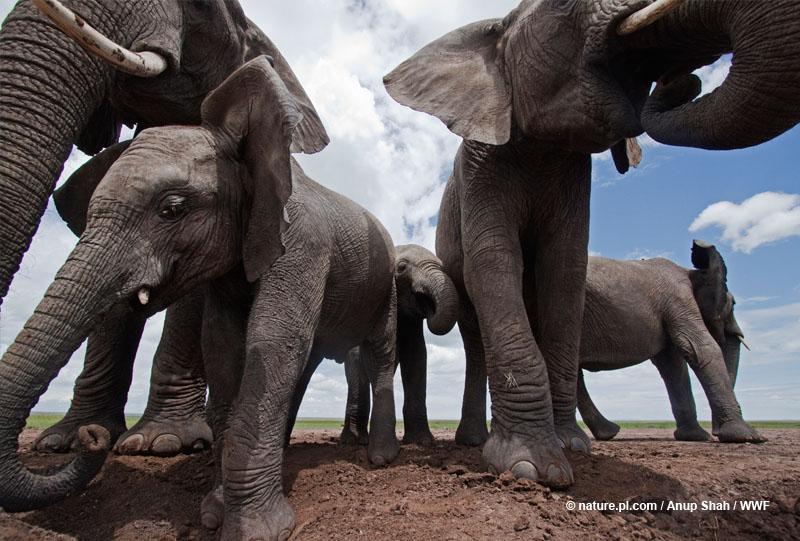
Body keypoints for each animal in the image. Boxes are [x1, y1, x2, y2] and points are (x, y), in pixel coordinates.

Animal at [0, 56, 400, 540]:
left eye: (172, 209)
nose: (92, 437)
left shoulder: (303, 244)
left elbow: (271, 340)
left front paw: (255, 529)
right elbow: (224, 349)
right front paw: (215, 512)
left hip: (384, 287)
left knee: (379, 353)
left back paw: (381, 458)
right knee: (304, 366)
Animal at [332, 245, 456, 448]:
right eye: (402, 267)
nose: (431, 306)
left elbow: (416, 357)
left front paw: (421, 442)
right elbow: (358, 360)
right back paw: (355, 441)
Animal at [382, 0, 800, 488]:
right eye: (564, 8)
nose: (685, 79)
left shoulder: (574, 178)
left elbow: (565, 271)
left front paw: (572, 448)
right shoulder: (480, 167)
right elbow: (495, 264)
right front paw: (534, 468)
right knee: (476, 336)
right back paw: (478, 442)